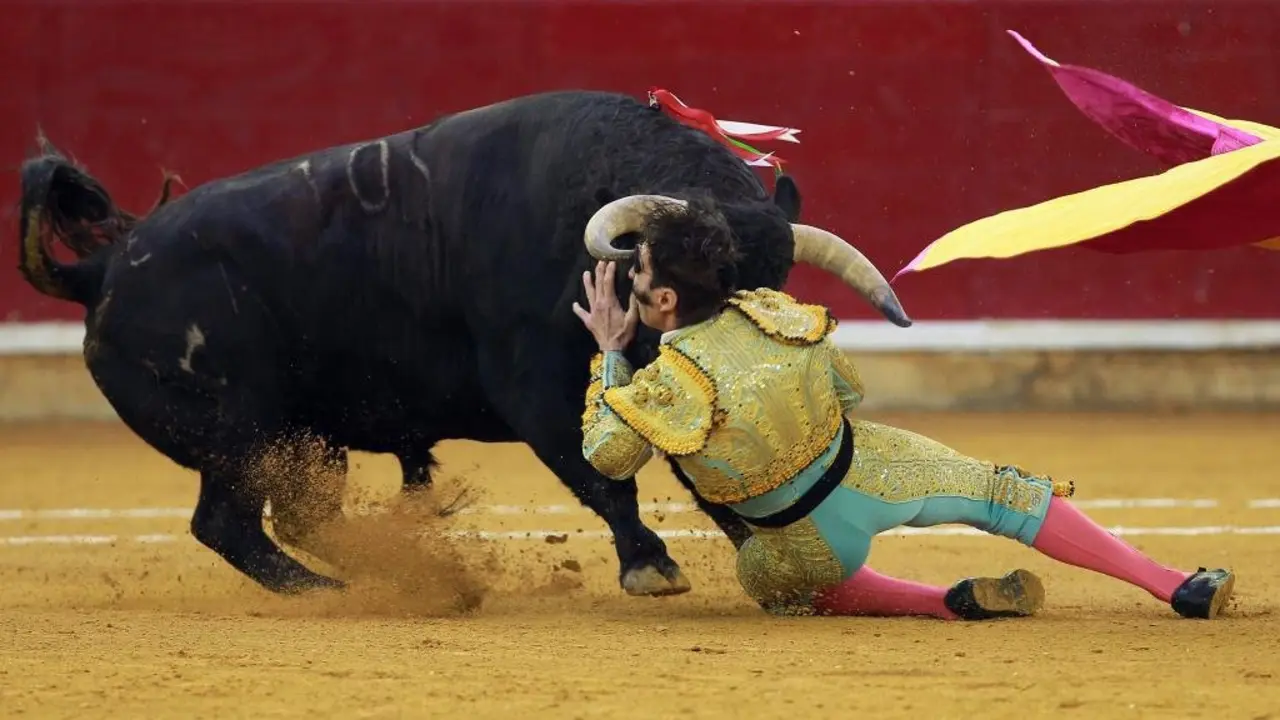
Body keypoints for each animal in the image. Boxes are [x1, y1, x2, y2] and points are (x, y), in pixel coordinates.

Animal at [16, 89, 912, 599]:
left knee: (293, 516)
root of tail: (102, 269)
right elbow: (602, 479)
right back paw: (327, 590)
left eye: (778, 276)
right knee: (226, 524)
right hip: (242, 436)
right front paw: (650, 567)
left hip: (303, 440)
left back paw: (377, 570)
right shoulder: (538, 390)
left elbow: (707, 478)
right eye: (700, 284)